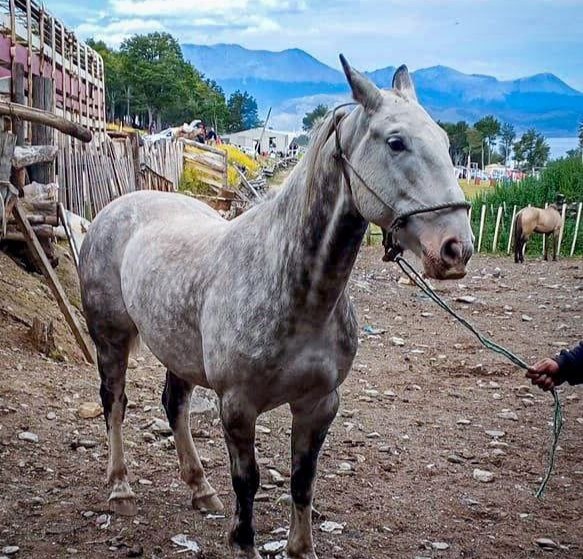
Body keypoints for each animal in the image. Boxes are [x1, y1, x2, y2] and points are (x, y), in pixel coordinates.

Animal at [80, 58, 474, 559]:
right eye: (396, 141)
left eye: (445, 141)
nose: (456, 248)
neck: (296, 291)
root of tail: (117, 208)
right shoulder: (237, 406)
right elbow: (247, 482)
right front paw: (243, 540)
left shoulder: (319, 404)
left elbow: (303, 480)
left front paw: (300, 547)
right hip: (110, 338)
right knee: (114, 402)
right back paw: (120, 488)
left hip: (177, 351)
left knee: (174, 406)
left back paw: (199, 488)